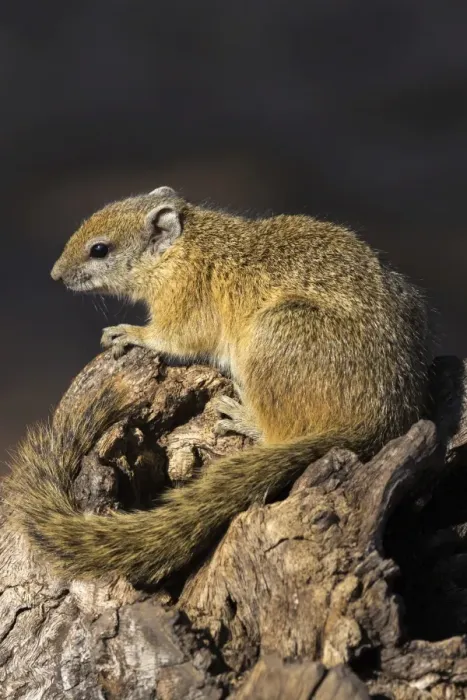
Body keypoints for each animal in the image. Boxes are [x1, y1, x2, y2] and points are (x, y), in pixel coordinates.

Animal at [5, 186, 431, 584]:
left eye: (99, 249)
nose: (55, 274)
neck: (183, 247)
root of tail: (379, 420)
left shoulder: (186, 303)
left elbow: (174, 338)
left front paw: (129, 333)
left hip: (274, 333)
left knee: (279, 432)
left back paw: (242, 417)